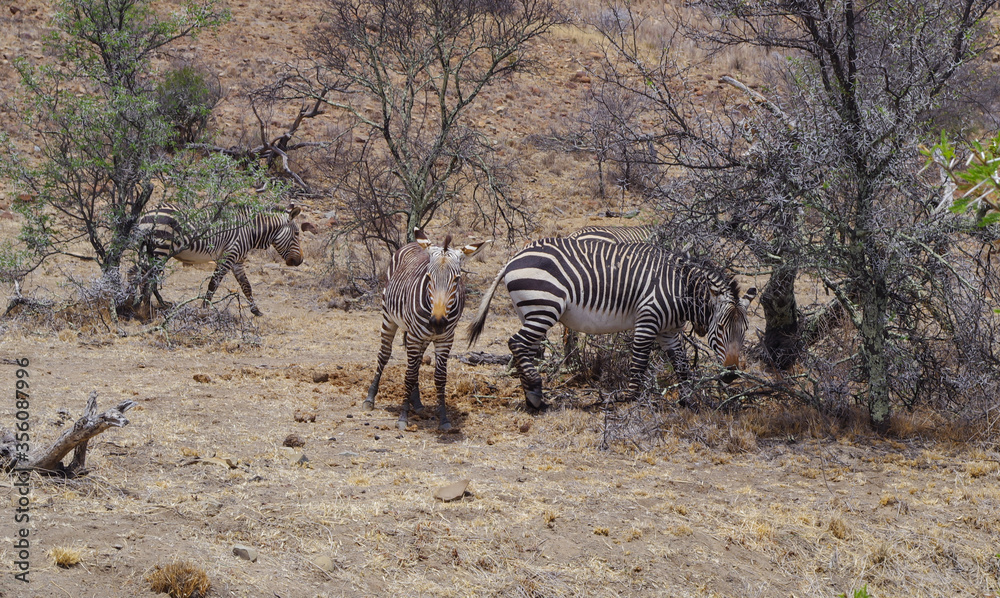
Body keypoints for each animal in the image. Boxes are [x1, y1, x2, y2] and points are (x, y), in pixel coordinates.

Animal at [133, 203, 303, 316]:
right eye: (297, 234)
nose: (300, 261)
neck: (249, 231)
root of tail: (144, 215)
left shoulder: (237, 261)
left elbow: (246, 286)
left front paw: (256, 310)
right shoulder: (229, 256)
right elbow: (213, 284)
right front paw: (204, 309)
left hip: (150, 250)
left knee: (143, 276)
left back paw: (153, 305)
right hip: (159, 249)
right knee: (148, 277)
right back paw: (146, 309)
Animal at [364, 229, 490, 431]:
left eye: (457, 279)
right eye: (429, 277)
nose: (437, 322)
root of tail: (413, 243)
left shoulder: (446, 339)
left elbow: (439, 377)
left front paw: (444, 418)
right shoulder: (415, 336)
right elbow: (408, 375)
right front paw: (403, 417)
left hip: (421, 336)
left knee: (415, 363)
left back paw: (417, 403)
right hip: (389, 317)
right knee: (384, 354)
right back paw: (370, 398)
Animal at [467, 238, 756, 410]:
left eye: (744, 332)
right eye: (720, 329)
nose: (731, 375)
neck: (680, 289)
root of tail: (514, 258)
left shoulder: (669, 332)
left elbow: (682, 366)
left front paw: (688, 401)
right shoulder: (647, 320)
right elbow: (638, 365)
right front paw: (624, 398)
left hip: (531, 311)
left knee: (526, 348)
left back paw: (531, 393)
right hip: (544, 307)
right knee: (516, 342)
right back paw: (536, 392)